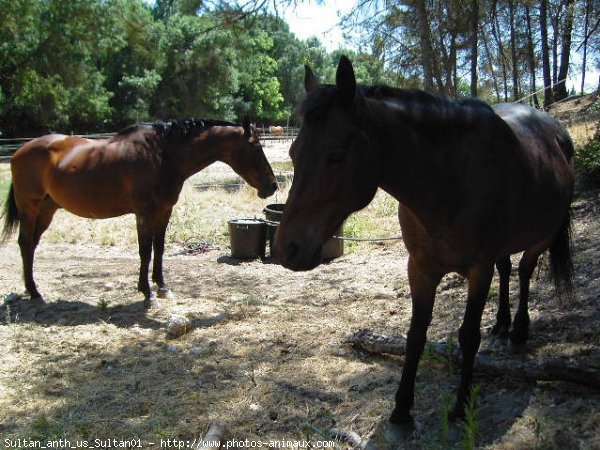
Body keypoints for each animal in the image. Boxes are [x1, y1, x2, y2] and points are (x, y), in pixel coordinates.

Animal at [1, 116, 278, 308]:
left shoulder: (164, 211)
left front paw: (162, 286)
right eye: (256, 148)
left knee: (31, 245)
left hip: (46, 211)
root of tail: (19, 152)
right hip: (30, 210)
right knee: (25, 244)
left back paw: (31, 290)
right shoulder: (144, 212)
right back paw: (35, 292)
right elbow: (145, 250)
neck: (163, 156)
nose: (272, 185)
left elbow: (159, 247)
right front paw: (147, 293)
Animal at [274, 57, 576, 428]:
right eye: (293, 152)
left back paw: (518, 331)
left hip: (542, 237)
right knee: (507, 270)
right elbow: (415, 336)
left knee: (523, 270)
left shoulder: (478, 270)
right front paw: (401, 409)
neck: (449, 182)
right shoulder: (420, 267)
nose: (285, 248)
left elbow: (468, 336)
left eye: (336, 156)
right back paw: (502, 325)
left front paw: (461, 406)